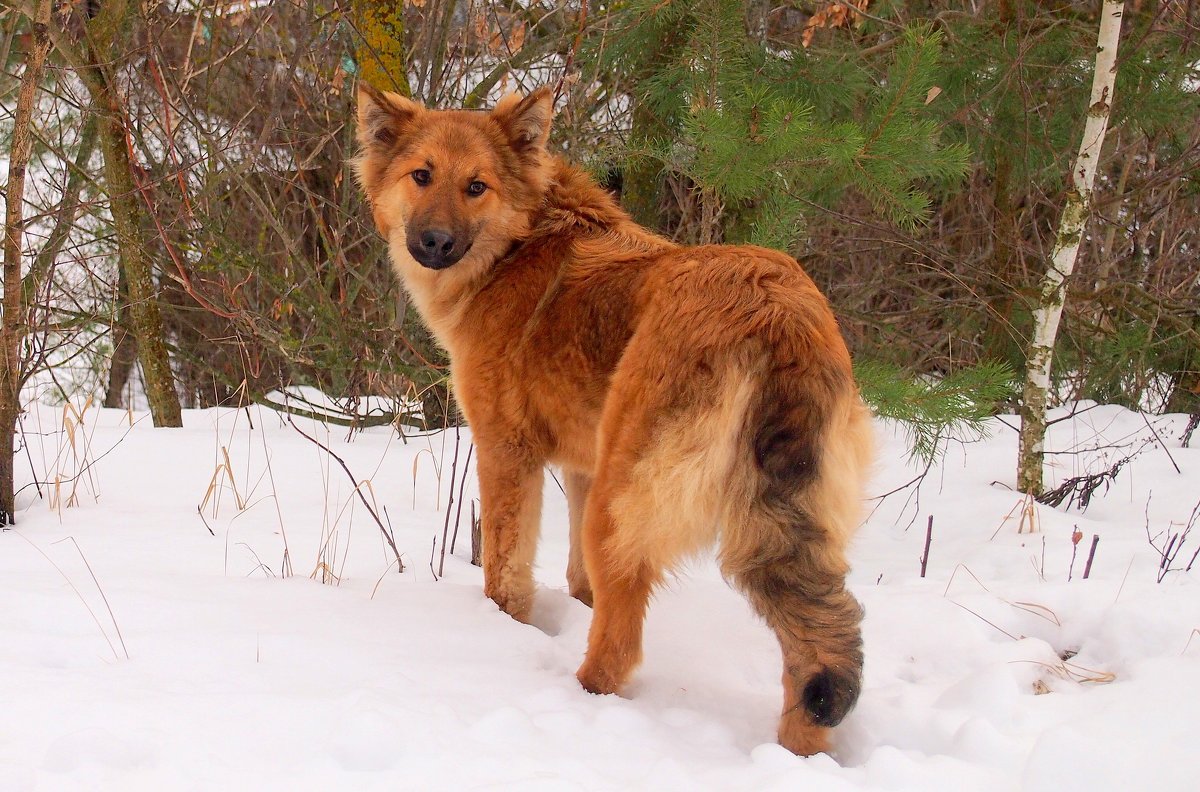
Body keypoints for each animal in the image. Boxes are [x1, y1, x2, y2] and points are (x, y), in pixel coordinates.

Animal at [352, 82, 873, 753]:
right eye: (422, 176)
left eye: (476, 186)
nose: (436, 242)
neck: (517, 246)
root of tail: (776, 311)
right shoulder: (581, 464)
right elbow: (579, 579)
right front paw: (571, 604)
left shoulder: (506, 451)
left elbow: (504, 570)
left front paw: (503, 629)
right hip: (781, 520)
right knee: (818, 647)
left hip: (623, 502)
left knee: (622, 642)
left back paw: (579, 701)